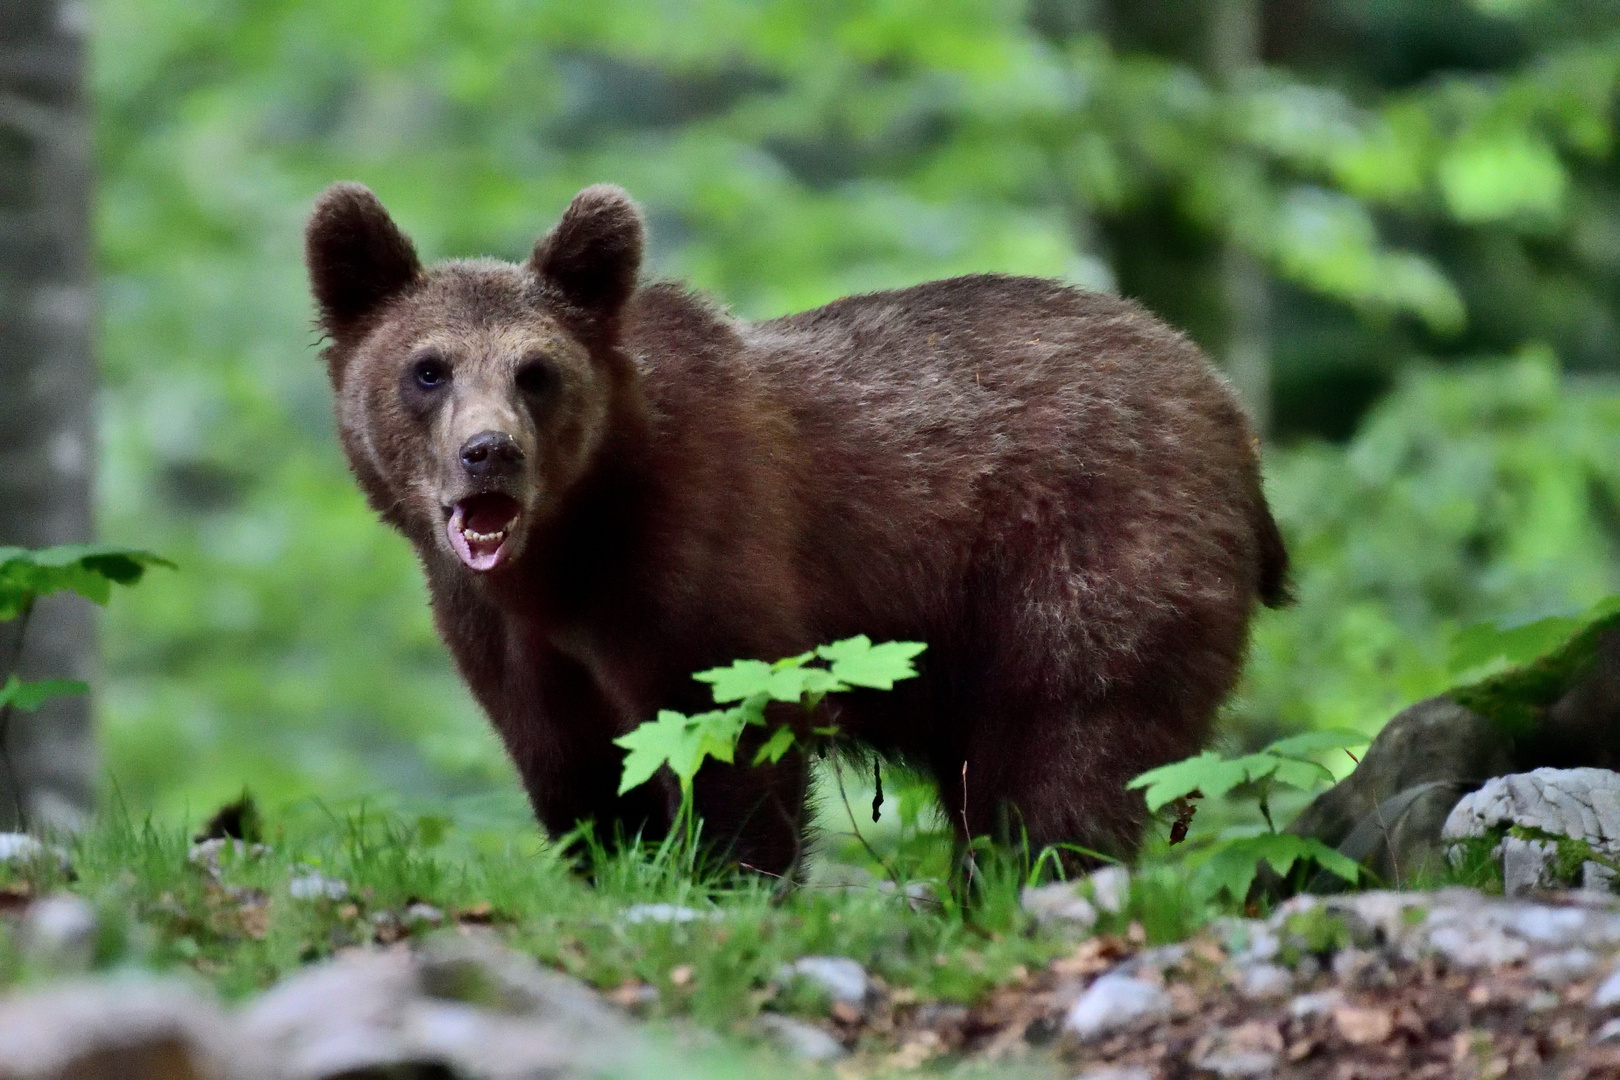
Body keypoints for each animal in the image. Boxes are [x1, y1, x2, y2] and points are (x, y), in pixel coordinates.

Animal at [306, 181, 1289, 874]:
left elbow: (729, 743)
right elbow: (581, 782)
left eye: (536, 371)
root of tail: (1230, 413)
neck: (569, 556)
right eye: (428, 368)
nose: (489, 453)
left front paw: (730, 881)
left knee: (1068, 755)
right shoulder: (508, 646)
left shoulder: (704, 561)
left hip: (1087, 556)